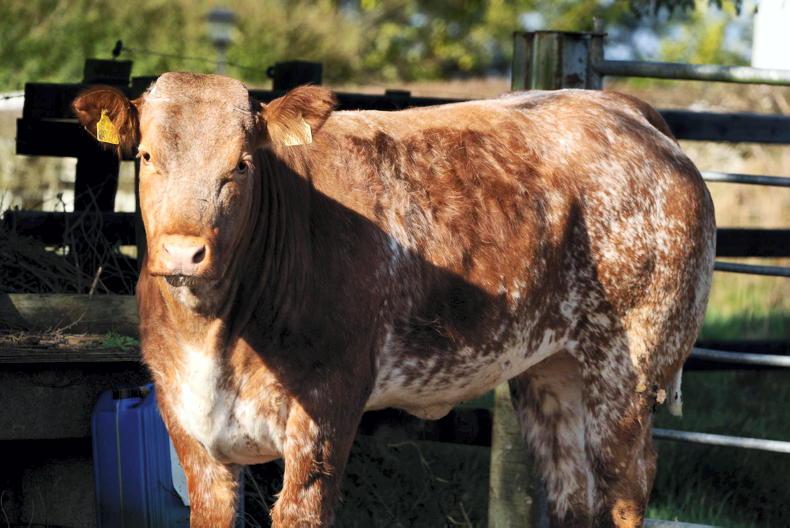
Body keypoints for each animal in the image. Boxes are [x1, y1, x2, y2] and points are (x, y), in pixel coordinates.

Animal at [73, 73, 715, 528]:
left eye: (242, 164)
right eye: (147, 156)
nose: (184, 253)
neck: (214, 334)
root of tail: (621, 109)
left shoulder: (325, 411)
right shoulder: (185, 420)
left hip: (628, 368)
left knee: (624, 489)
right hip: (550, 369)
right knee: (570, 494)